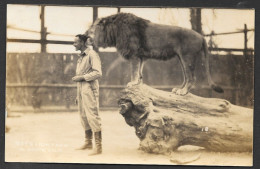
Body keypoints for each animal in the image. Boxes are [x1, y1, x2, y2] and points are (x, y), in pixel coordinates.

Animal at [85, 12, 223, 95]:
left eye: (92, 29)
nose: (85, 35)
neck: (114, 31)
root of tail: (201, 36)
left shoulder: (134, 54)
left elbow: (134, 71)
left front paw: (132, 83)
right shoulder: (141, 56)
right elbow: (139, 71)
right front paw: (138, 83)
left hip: (187, 56)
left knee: (191, 77)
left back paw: (182, 92)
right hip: (181, 58)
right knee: (186, 77)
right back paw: (178, 89)